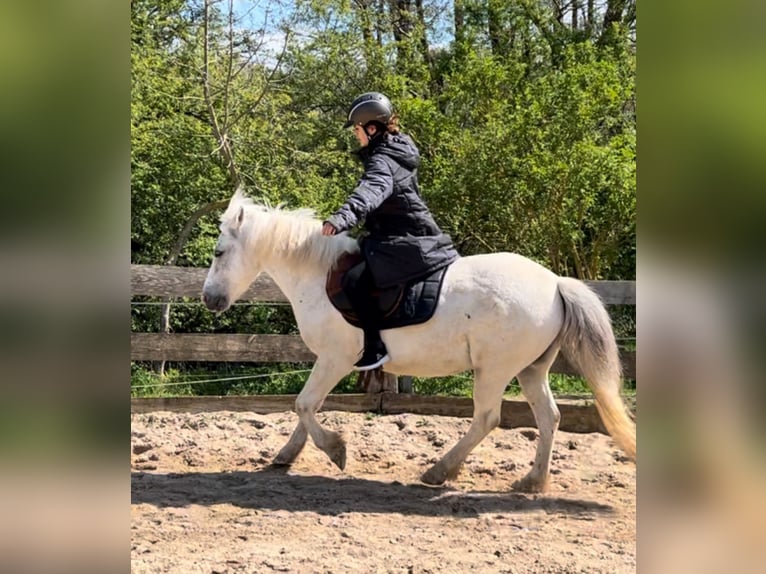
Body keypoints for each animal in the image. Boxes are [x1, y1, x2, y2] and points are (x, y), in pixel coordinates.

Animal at [202, 190, 636, 492]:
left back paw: (439, 471)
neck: (320, 275)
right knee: (549, 418)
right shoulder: (330, 361)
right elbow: (308, 407)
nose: (209, 299)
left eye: (219, 252)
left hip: (494, 370)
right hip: (531, 370)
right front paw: (286, 456)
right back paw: (532, 482)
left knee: (487, 418)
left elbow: (305, 405)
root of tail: (556, 283)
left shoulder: (336, 357)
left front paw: (336, 450)